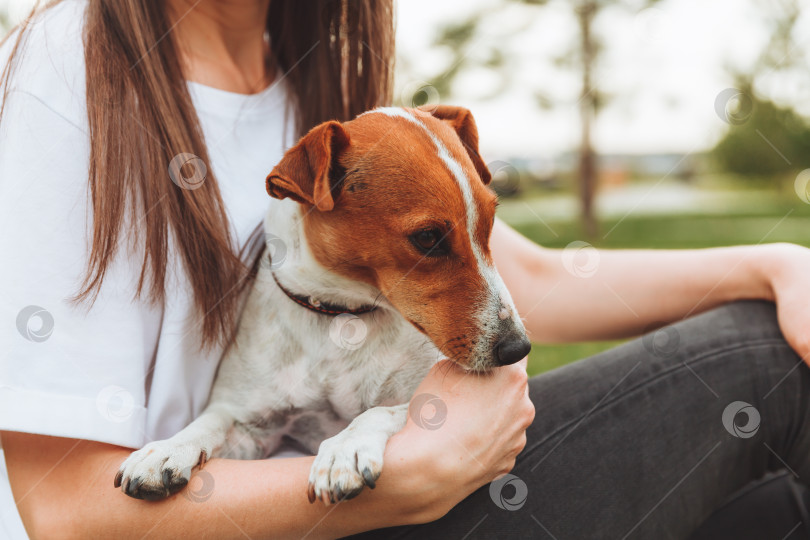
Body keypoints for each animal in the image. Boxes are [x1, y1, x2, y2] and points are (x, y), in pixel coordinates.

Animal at [113, 106, 532, 506]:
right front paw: (167, 448)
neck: (342, 314)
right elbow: (211, 421)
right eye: (428, 237)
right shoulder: (255, 430)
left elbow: (381, 410)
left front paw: (344, 448)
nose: (518, 348)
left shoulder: (427, 401)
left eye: (490, 222)